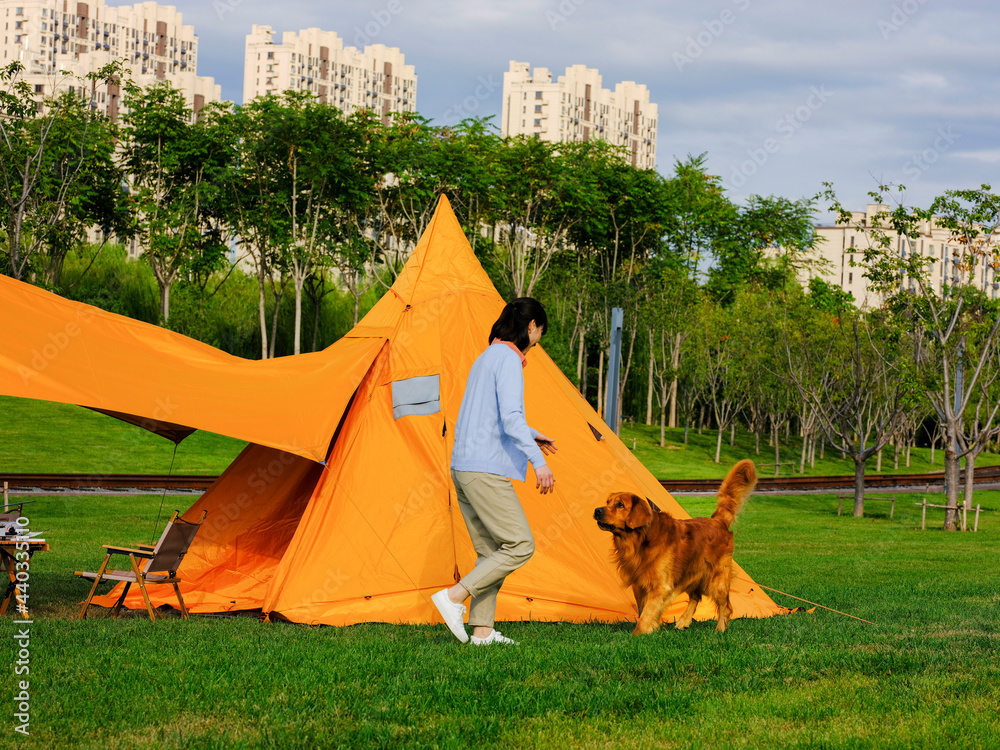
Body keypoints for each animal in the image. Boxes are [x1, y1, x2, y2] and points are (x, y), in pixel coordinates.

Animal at [588, 458, 752, 636]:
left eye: (620, 505)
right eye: (607, 502)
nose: (597, 511)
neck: (640, 539)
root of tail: (718, 520)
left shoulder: (660, 586)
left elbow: (646, 613)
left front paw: (638, 634)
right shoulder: (639, 584)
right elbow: (644, 610)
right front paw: (651, 628)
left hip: (717, 579)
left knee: (726, 607)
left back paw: (720, 629)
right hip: (691, 572)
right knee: (696, 597)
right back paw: (683, 622)